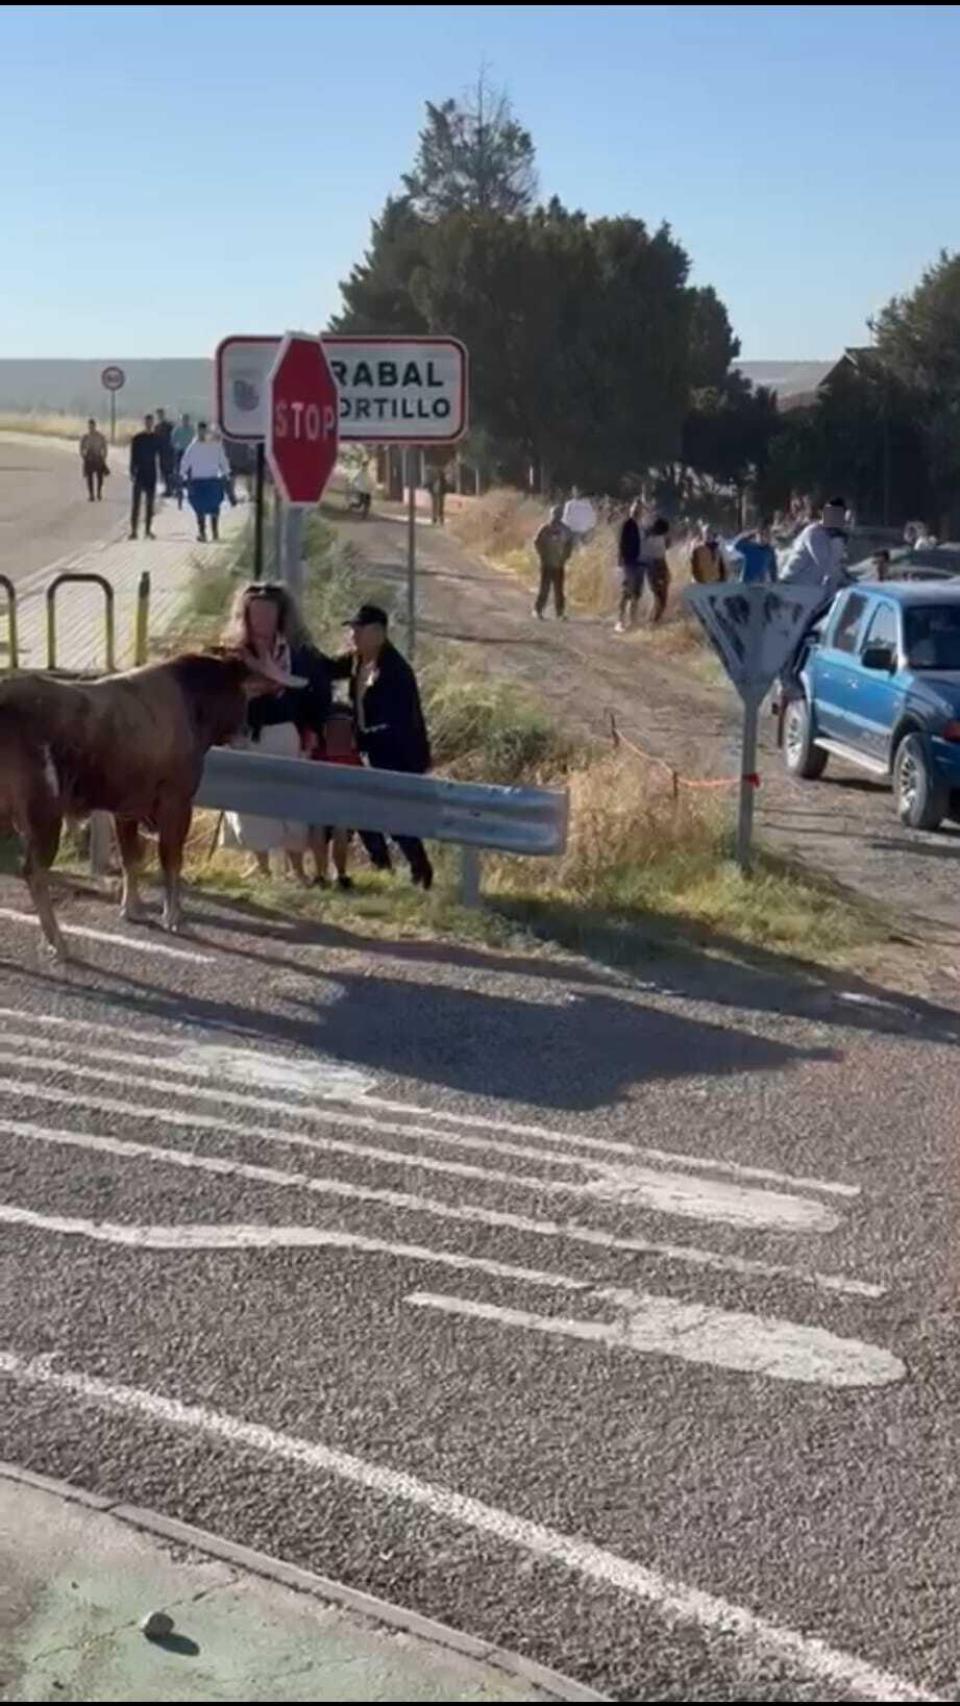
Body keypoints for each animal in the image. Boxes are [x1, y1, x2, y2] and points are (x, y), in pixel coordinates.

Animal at [0, 648, 298, 955]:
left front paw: (132, 908)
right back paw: (57, 941)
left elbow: (131, 858)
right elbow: (171, 860)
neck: (193, 705)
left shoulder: (127, 808)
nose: (246, 732)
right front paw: (175, 917)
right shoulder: (176, 802)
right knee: (34, 871)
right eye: (243, 694)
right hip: (43, 814)